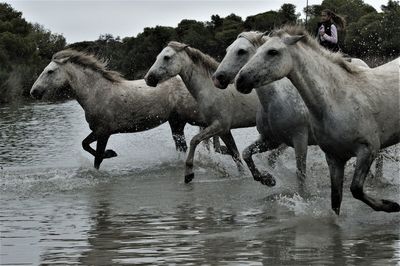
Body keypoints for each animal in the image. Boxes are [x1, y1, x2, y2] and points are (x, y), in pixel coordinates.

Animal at [30, 49, 211, 169]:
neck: (96, 92)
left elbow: (97, 158)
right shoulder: (98, 130)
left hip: (192, 117)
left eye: (50, 71)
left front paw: (108, 155)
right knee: (184, 146)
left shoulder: (104, 132)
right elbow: (85, 144)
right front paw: (111, 153)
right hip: (176, 122)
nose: (34, 92)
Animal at [144, 42, 260, 183]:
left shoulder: (219, 126)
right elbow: (235, 154)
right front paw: (242, 175)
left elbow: (194, 140)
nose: (148, 78)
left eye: (166, 57)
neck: (212, 90)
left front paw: (189, 174)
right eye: (157, 57)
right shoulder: (224, 130)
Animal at [236, 25, 398, 214]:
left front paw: (391, 206)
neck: (336, 99)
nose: (240, 80)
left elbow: (356, 189)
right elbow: (336, 201)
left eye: (272, 51)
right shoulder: (334, 158)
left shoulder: (368, 149)